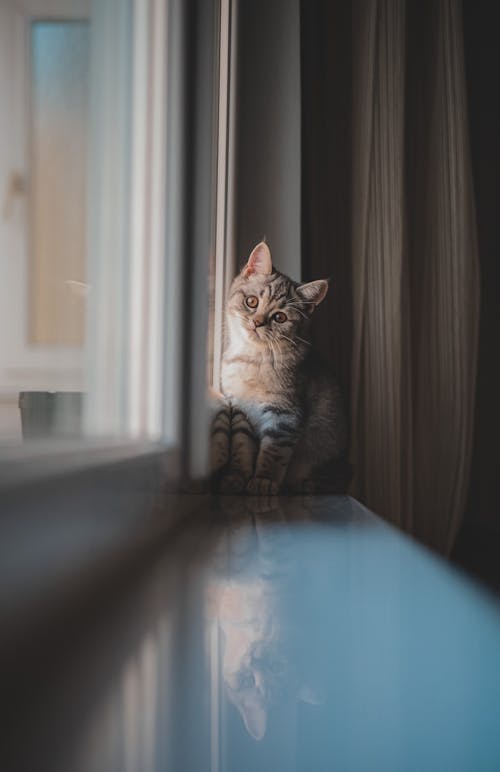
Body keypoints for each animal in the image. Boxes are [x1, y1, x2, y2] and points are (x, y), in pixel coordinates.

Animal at [211, 241, 348, 494]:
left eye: (280, 318)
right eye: (252, 301)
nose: (257, 323)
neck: (252, 360)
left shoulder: (285, 415)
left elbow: (273, 452)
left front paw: (264, 480)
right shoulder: (241, 410)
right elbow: (241, 446)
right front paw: (236, 476)